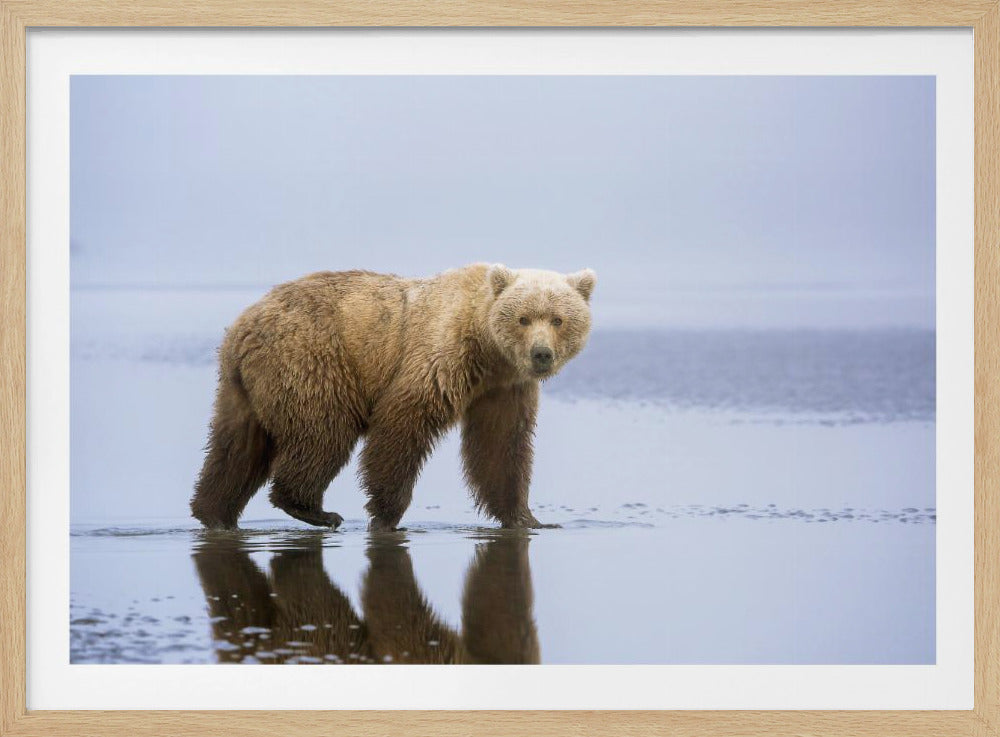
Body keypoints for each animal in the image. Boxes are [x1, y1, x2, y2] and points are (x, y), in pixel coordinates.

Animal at [189, 263, 596, 531]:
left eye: (558, 319)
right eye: (523, 318)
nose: (541, 354)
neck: (487, 349)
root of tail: (241, 327)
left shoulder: (503, 389)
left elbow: (502, 448)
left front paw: (529, 518)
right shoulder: (441, 356)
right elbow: (402, 424)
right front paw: (386, 514)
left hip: (242, 389)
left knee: (236, 447)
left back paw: (214, 511)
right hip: (312, 359)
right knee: (324, 433)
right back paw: (315, 509)